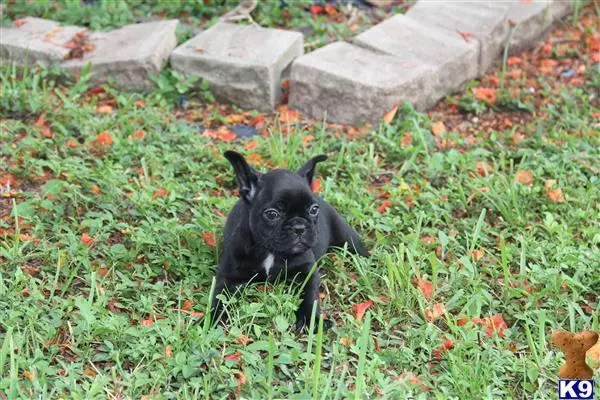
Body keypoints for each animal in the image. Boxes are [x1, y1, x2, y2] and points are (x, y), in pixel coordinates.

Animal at [211, 151, 370, 332]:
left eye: (313, 209)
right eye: (272, 214)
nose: (299, 226)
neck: (270, 251)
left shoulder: (308, 271)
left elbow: (310, 296)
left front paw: (310, 319)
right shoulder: (227, 276)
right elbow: (218, 299)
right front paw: (212, 320)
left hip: (347, 238)